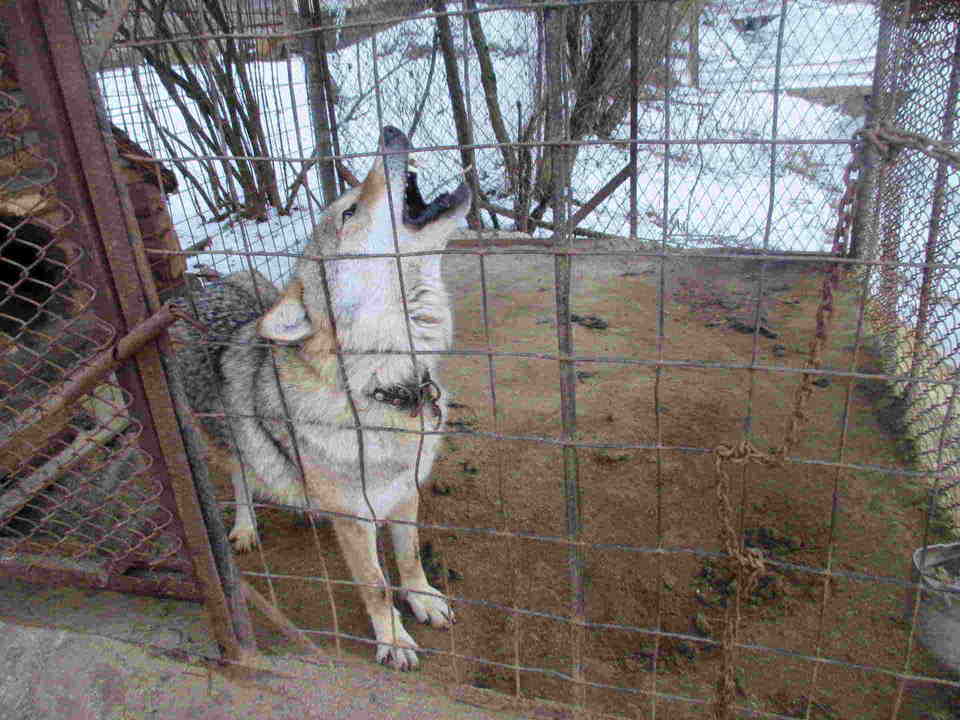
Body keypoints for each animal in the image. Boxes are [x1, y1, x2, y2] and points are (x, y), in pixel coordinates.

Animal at [174, 125, 474, 668]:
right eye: (349, 212)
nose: (390, 132)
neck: (385, 387)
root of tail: (204, 289)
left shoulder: (405, 491)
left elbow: (409, 556)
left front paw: (422, 599)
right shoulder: (356, 521)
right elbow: (376, 585)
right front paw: (392, 640)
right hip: (219, 440)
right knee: (240, 477)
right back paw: (245, 528)